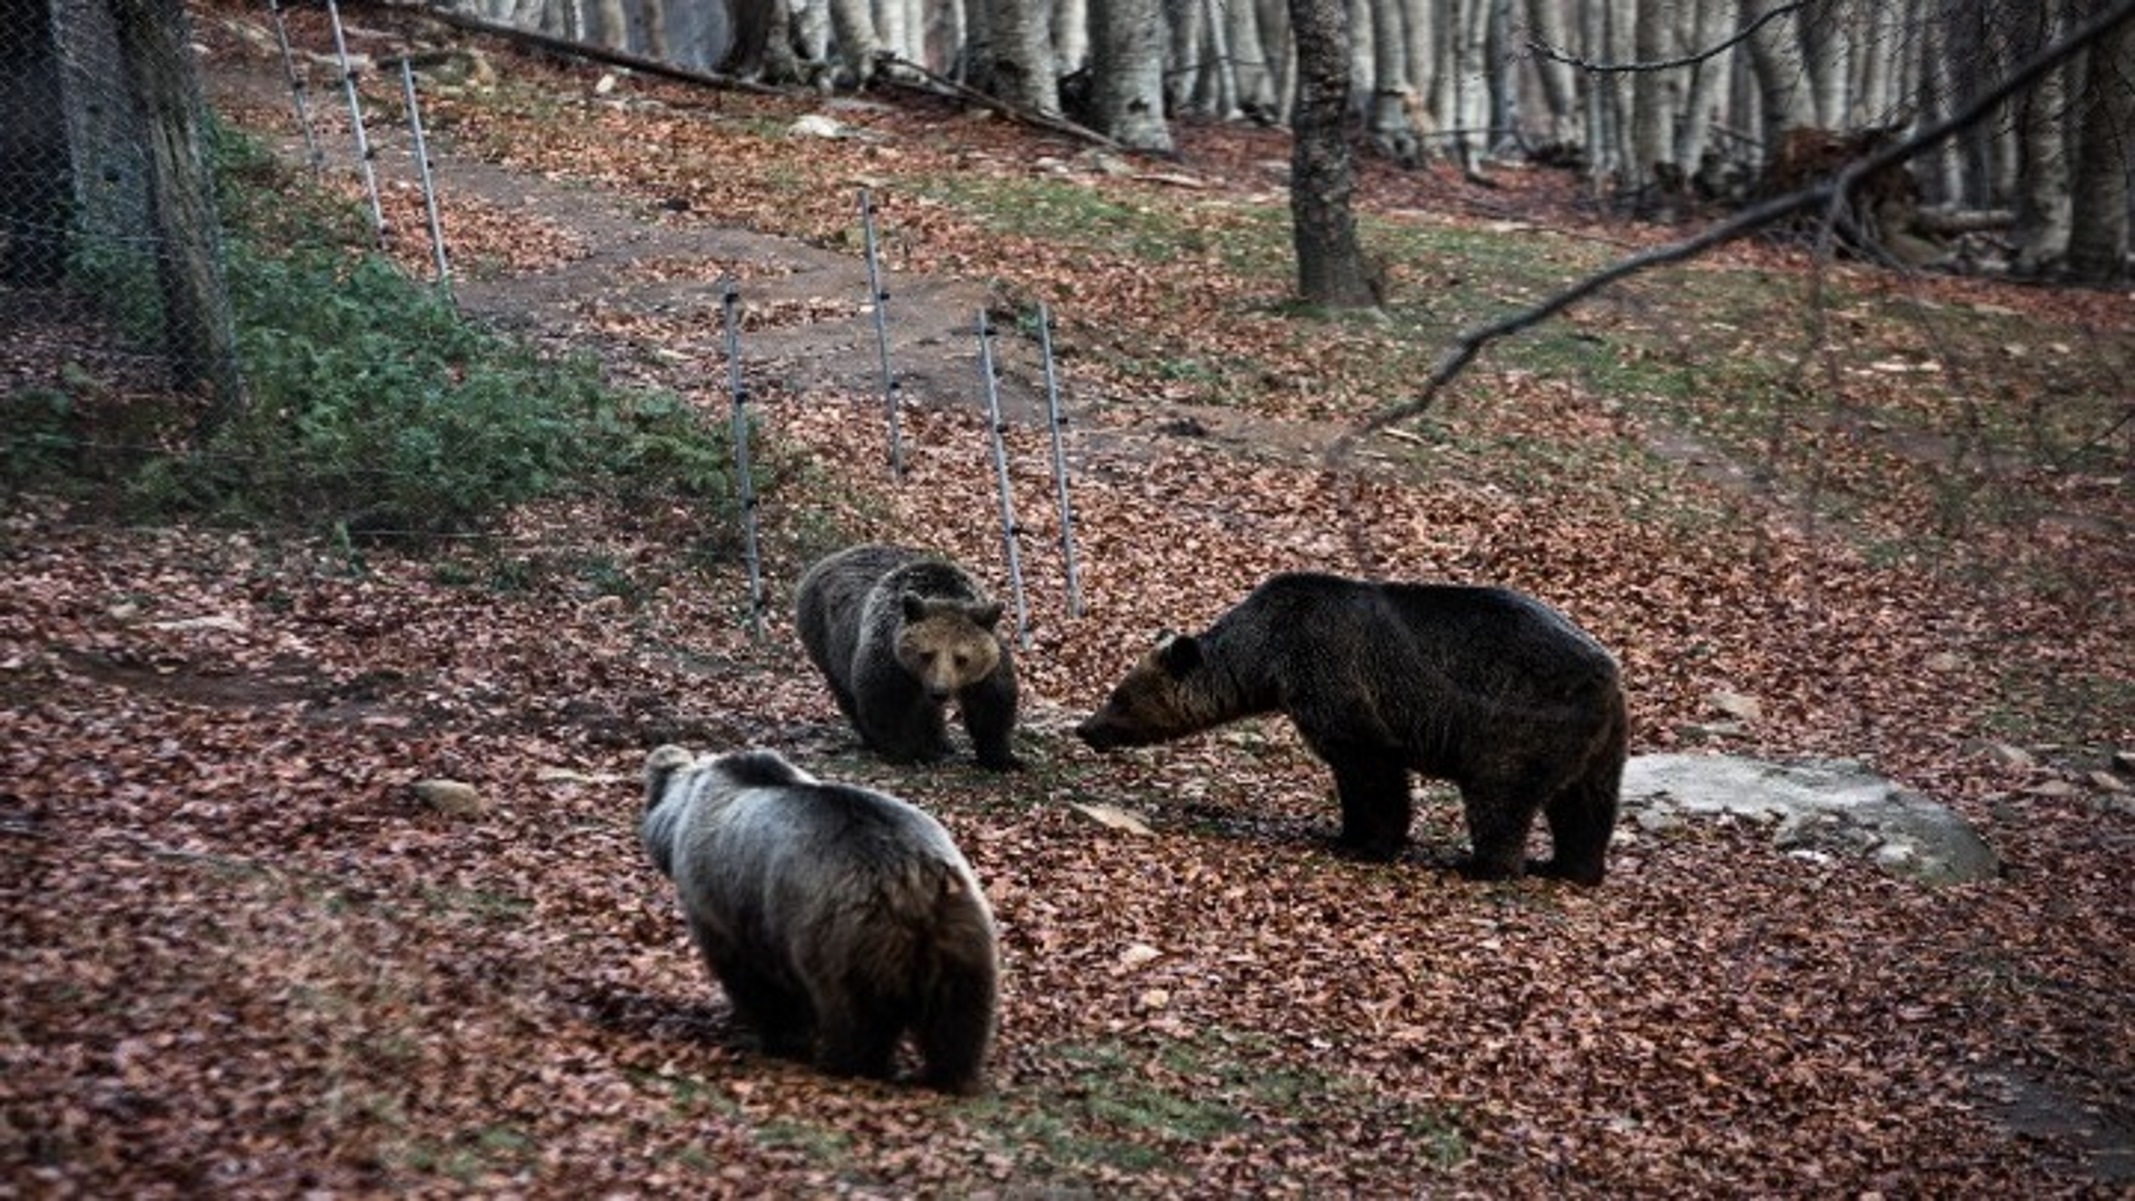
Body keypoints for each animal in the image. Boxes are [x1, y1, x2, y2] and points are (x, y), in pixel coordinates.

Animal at [640, 746, 999, 1092]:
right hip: (959, 930)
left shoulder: (727, 904)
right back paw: (951, 1074)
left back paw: (848, 1062)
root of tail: (909, 880)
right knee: (959, 1015)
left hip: (843, 934)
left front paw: (775, 1035)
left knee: (855, 1012)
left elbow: (753, 979)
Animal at [798, 546, 1020, 772]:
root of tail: (830, 558)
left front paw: (1002, 758)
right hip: (826, 638)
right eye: (927, 654)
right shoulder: (889, 654)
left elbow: (992, 703)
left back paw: (941, 741)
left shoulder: (989, 665)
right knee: (846, 693)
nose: (940, 691)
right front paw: (912, 752)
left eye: (961, 658)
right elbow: (886, 703)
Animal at [1076, 575, 1622, 887]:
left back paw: (1484, 867)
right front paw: (1346, 831)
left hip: (1520, 717)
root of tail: (1610, 673)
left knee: (1500, 794)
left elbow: (1370, 769)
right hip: (1600, 742)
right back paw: (1569, 868)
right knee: (1585, 805)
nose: (1087, 728)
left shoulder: (1335, 674)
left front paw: (1366, 842)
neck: (1266, 658)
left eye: (1120, 696)